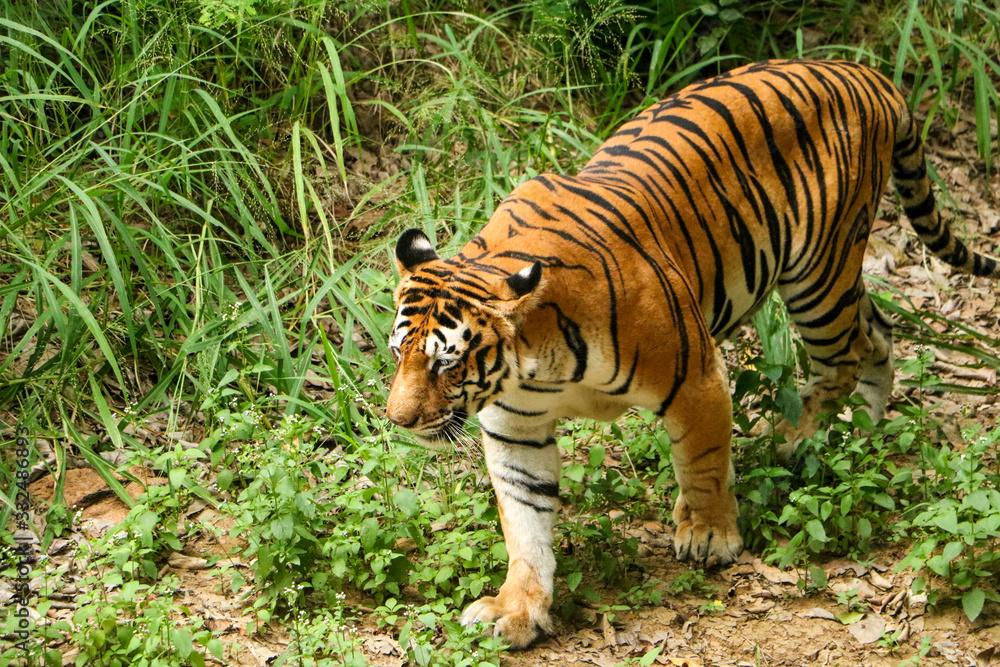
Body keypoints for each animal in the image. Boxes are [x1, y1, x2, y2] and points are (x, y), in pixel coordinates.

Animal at [384, 59, 1000, 648]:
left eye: (446, 363)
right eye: (397, 354)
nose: (398, 421)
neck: (535, 361)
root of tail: (864, 73)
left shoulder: (695, 377)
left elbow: (700, 461)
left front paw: (708, 533)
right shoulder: (517, 428)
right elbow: (525, 521)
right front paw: (517, 609)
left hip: (819, 272)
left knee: (844, 358)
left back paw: (793, 437)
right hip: (839, 281)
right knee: (878, 334)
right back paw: (862, 434)